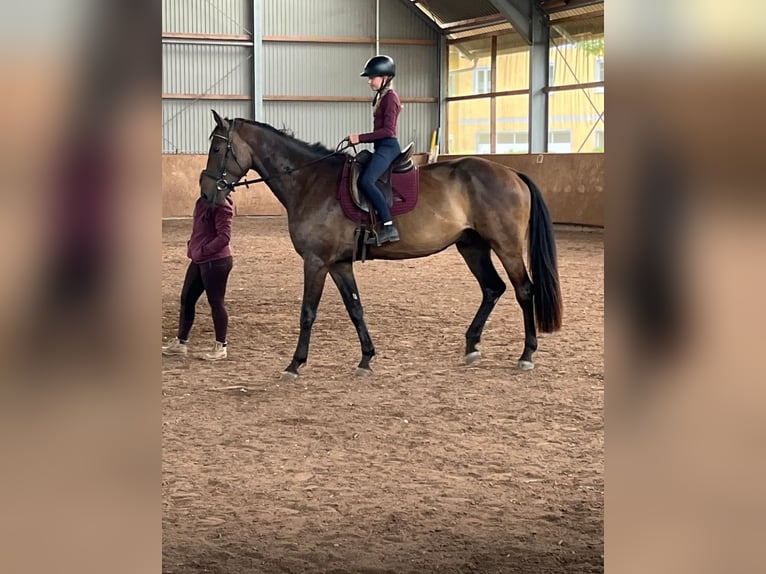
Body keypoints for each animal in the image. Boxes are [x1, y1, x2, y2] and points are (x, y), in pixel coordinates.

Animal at [200, 110, 562, 379]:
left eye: (217, 149)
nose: (206, 193)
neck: (310, 181)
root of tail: (512, 173)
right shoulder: (338, 263)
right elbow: (355, 308)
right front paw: (366, 358)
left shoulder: (316, 262)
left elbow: (308, 312)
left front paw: (295, 364)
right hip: (472, 246)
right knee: (492, 288)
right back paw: (472, 346)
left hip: (506, 246)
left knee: (523, 290)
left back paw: (527, 353)